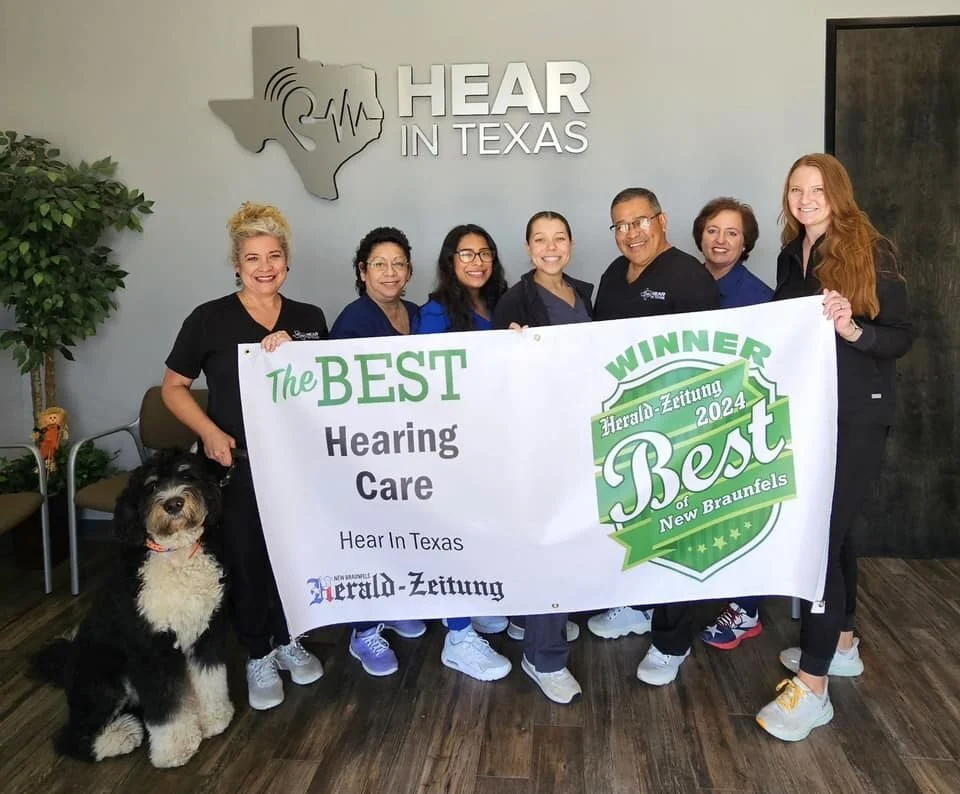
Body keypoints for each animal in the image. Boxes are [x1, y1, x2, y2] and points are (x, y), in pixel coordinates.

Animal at [31, 452, 234, 768]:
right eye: (150, 486)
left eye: (186, 475)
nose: (173, 503)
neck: (175, 556)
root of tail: (66, 665)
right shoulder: (150, 650)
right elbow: (165, 708)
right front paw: (174, 750)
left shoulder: (206, 634)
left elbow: (210, 680)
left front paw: (214, 718)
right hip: (104, 678)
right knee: (72, 737)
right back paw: (123, 736)